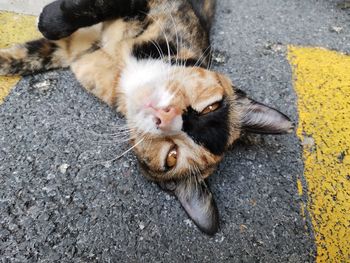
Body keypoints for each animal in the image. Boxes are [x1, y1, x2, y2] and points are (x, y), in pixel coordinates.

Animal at [0, 0, 294, 235]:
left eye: (172, 157)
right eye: (210, 107)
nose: (166, 116)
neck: (125, 73)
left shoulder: (79, 53)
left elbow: (38, 52)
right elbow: (88, 10)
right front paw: (47, 20)